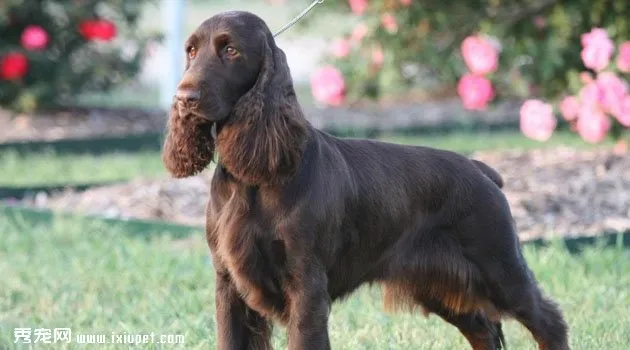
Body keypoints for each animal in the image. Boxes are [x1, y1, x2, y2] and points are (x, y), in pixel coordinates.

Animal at [163, 10, 572, 350]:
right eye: (191, 51)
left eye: (230, 49)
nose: (183, 97)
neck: (254, 179)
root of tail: (479, 169)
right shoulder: (228, 283)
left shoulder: (306, 285)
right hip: (441, 285)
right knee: (484, 329)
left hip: (500, 268)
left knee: (549, 321)